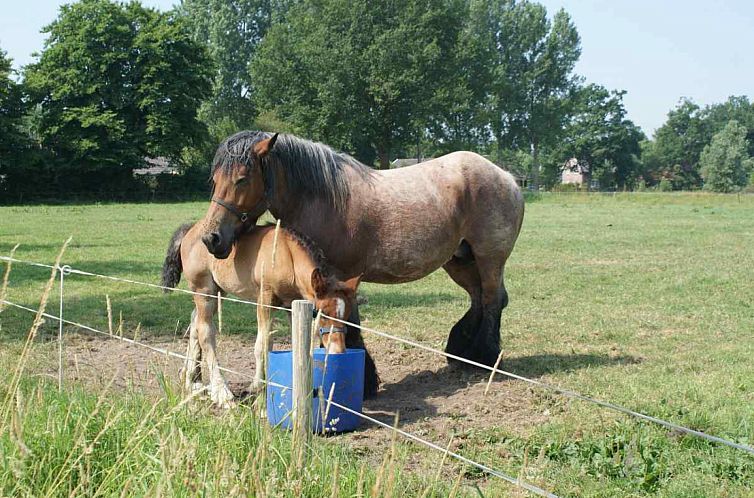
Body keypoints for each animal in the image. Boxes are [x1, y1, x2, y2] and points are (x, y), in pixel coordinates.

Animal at [161, 223, 358, 408]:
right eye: (319, 313)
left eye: (346, 315)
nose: (338, 350)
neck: (287, 255)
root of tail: (191, 230)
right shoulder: (265, 299)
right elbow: (263, 345)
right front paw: (259, 394)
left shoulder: (291, 306)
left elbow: (295, 341)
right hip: (204, 292)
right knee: (205, 332)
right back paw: (223, 394)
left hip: (218, 291)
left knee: (195, 322)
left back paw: (190, 380)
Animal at [200, 132, 524, 396]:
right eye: (214, 179)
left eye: (242, 178)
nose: (211, 238)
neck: (323, 201)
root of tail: (506, 177)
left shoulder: (341, 276)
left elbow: (349, 323)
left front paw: (365, 382)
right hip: (459, 261)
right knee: (479, 299)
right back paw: (464, 354)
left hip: (489, 259)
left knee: (492, 300)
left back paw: (485, 358)